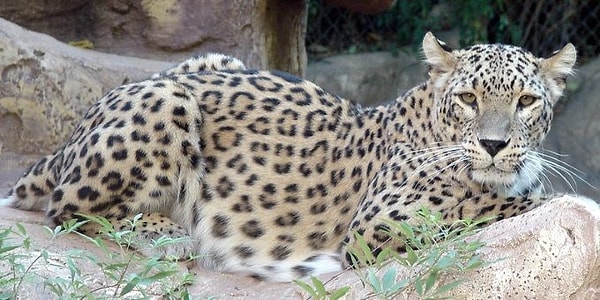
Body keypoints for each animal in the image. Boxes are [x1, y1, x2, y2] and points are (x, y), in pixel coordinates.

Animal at [0, 32, 584, 282]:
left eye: (526, 101)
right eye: (468, 98)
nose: (493, 145)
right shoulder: (380, 223)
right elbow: (491, 206)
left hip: (209, 62)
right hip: (167, 100)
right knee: (68, 210)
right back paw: (166, 235)